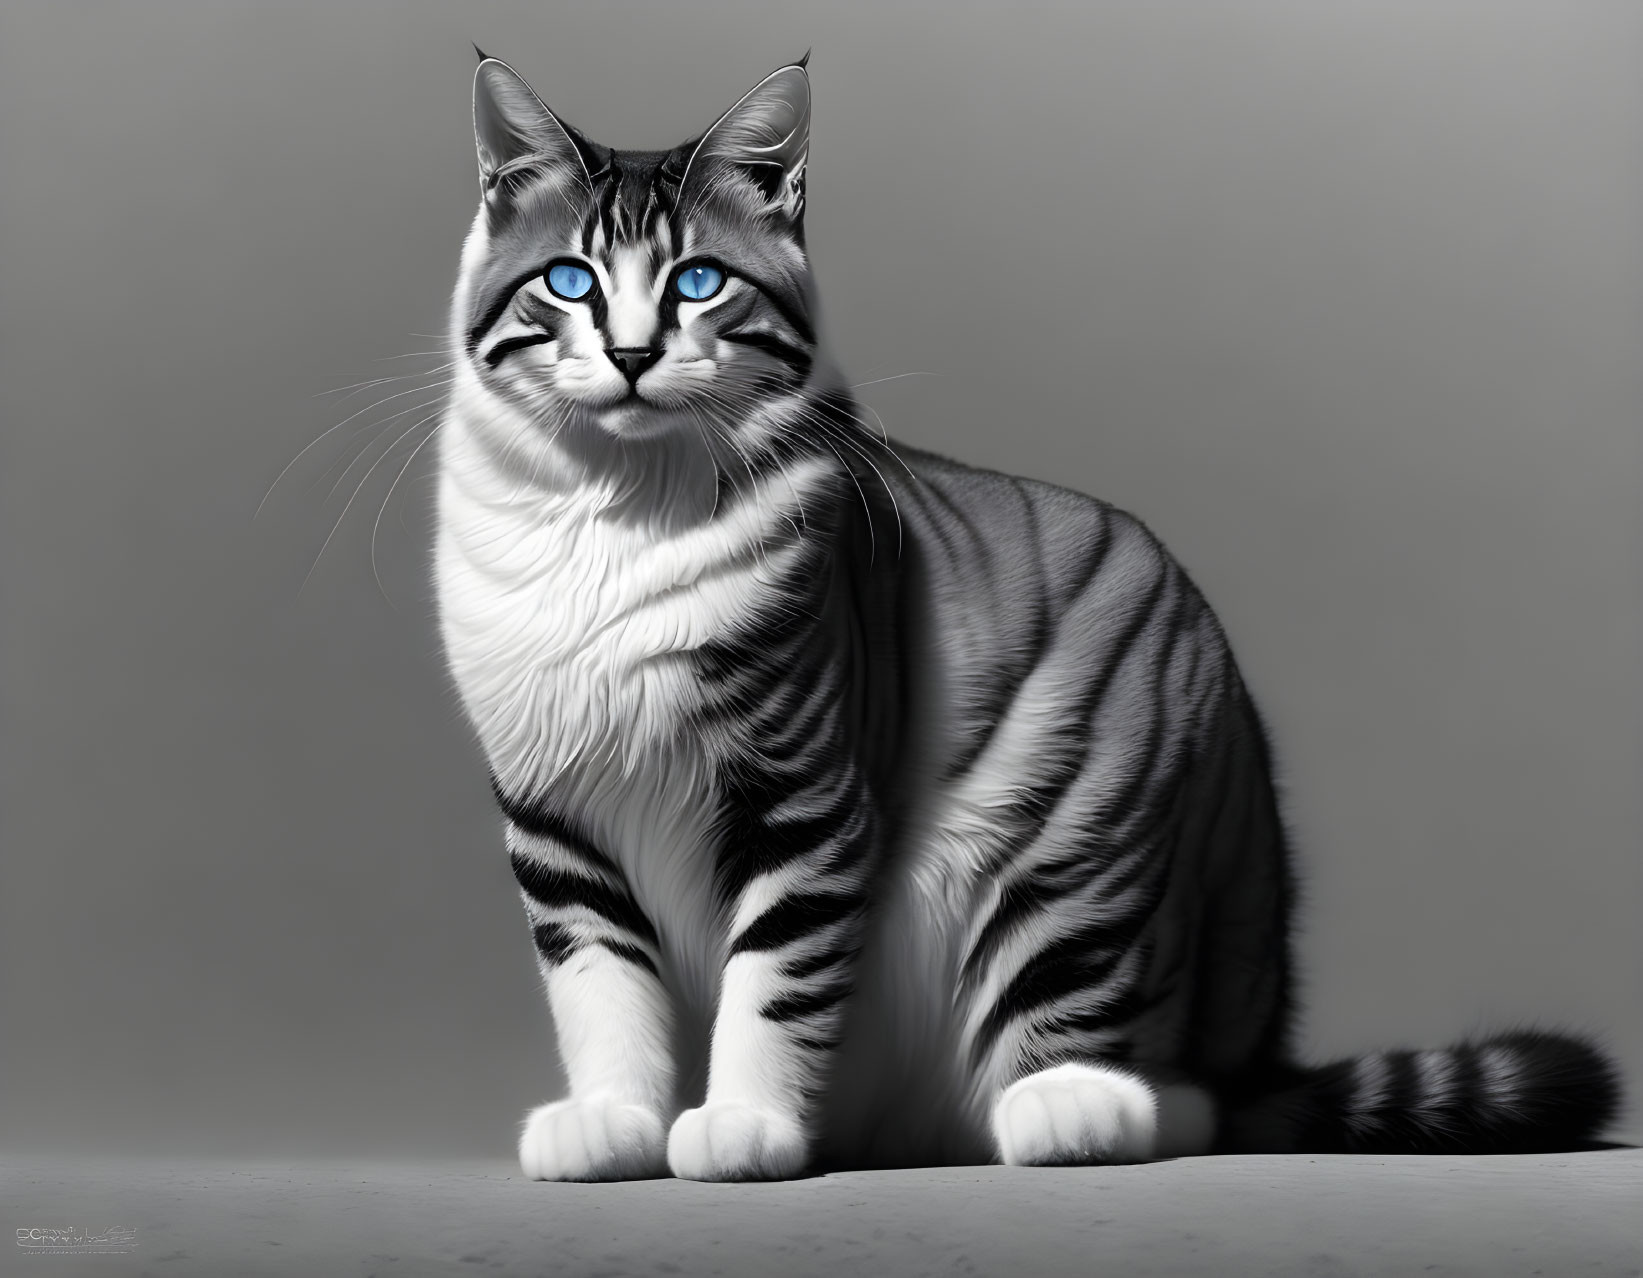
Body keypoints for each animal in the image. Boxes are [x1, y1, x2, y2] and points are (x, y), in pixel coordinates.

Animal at [430, 54, 1623, 1182]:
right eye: (570, 281)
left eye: (698, 282)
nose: (632, 355)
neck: (614, 521)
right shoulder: (555, 822)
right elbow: (600, 987)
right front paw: (613, 1124)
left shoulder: (802, 794)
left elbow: (774, 976)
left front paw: (744, 1127)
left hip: (1082, 828)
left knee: (1165, 1089)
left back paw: (1065, 1110)